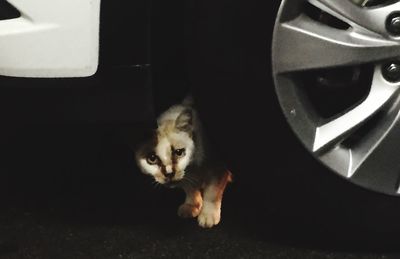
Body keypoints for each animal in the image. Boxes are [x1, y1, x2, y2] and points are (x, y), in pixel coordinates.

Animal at [136, 98, 233, 230]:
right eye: (152, 158)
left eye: (179, 152)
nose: (169, 173)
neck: (193, 168)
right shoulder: (185, 177)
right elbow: (190, 189)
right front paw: (192, 206)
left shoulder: (218, 169)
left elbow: (212, 193)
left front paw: (208, 215)